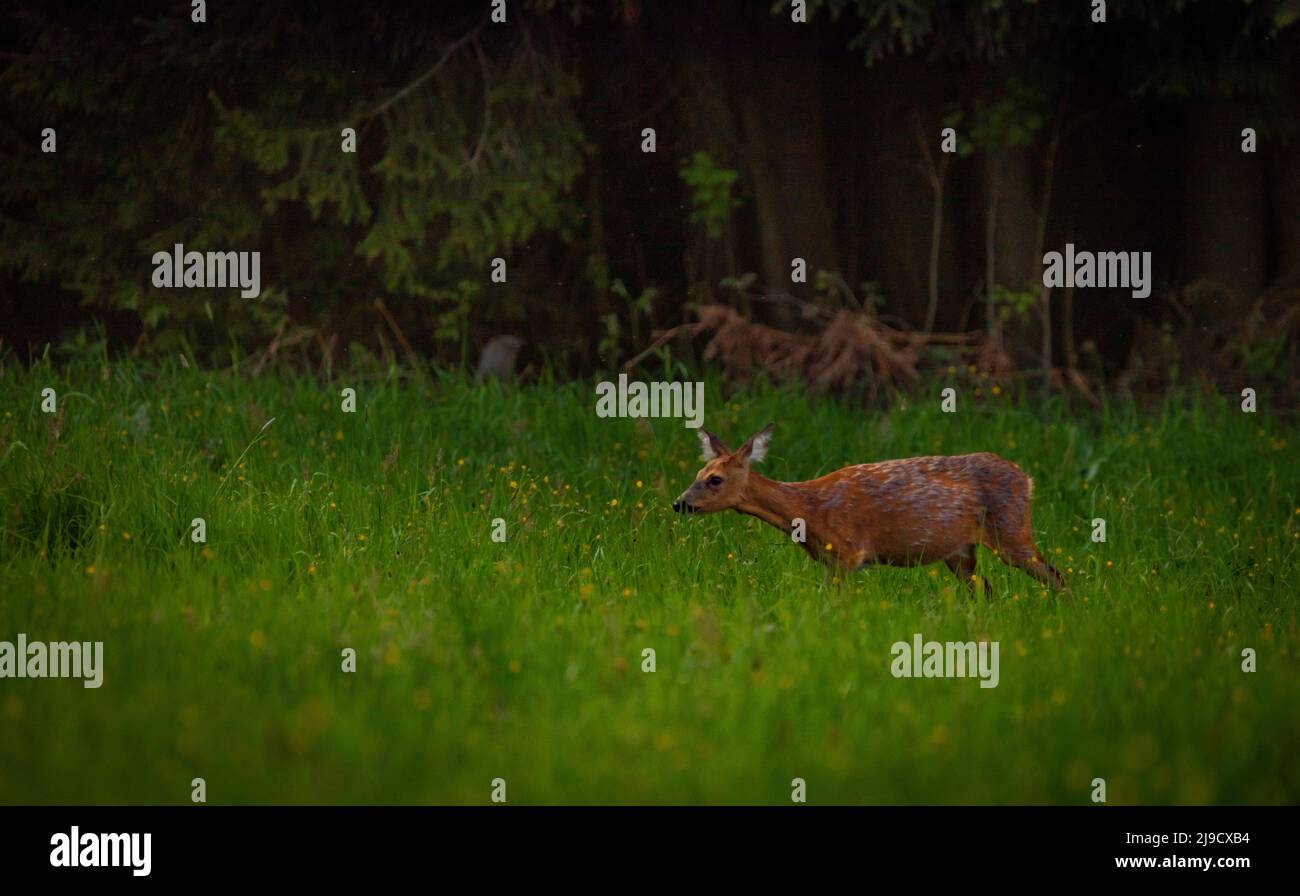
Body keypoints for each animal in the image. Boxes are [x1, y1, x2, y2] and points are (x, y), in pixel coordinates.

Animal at [672, 424, 1065, 594]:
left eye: (715, 479)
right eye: (698, 473)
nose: (680, 503)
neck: (808, 512)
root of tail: (1027, 478)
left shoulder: (848, 552)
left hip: (1011, 528)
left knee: (1055, 575)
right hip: (960, 551)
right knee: (984, 588)